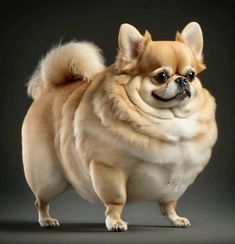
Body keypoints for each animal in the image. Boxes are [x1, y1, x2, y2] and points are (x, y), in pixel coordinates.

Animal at [21, 22, 217, 231]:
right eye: (161, 76)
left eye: (191, 75)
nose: (182, 80)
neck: (168, 120)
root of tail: (50, 87)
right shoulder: (109, 170)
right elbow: (116, 201)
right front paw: (115, 222)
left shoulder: (175, 184)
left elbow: (169, 204)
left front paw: (176, 219)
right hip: (49, 178)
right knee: (41, 200)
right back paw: (46, 220)